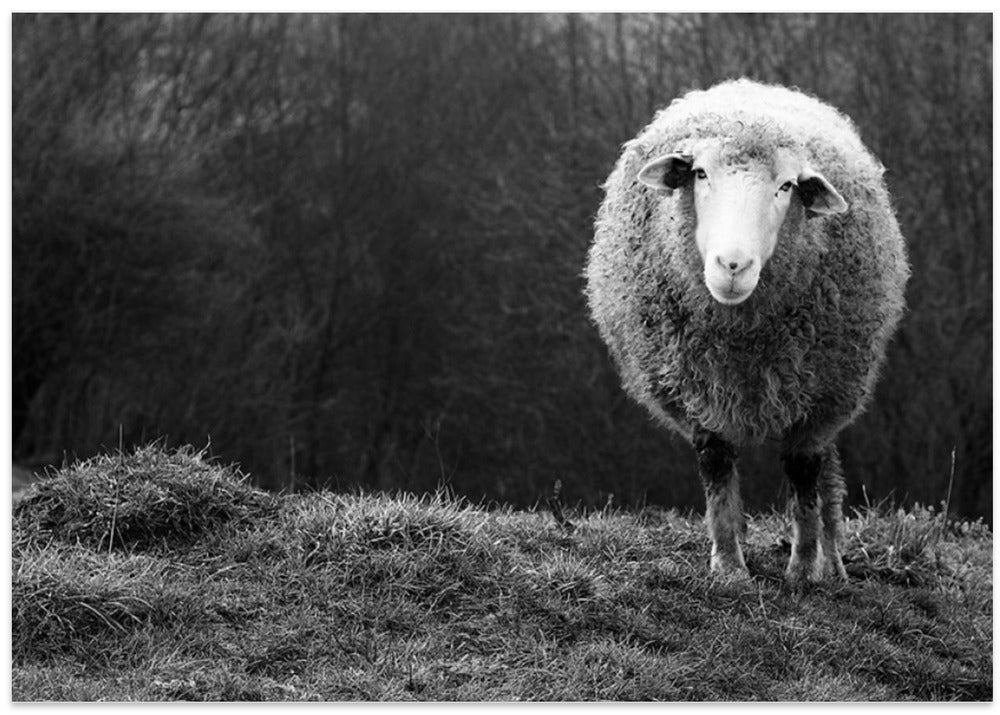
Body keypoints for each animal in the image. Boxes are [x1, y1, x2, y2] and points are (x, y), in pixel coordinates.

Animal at [585, 79, 909, 583]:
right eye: (699, 174)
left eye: (786, 186)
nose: (732, 265)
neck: (742, 340)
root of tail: (750, 86)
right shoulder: (697, 388)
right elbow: (717, 465)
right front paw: (728, 566)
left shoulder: (818, 398)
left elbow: (804, 474)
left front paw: (803, 569)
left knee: (827, 476)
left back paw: (833, 563)